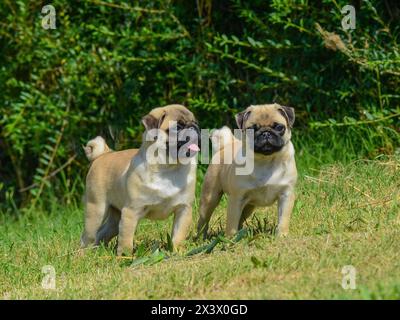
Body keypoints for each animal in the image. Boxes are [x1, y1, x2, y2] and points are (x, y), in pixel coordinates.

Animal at [80, 104, 200, 255]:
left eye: (196, 122)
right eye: (177, 127)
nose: (194, 127)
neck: (168, 167)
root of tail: (103, 154)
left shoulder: (184, 209)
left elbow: (178, 235)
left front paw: (177, 252)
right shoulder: (131, 211)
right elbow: (126, 240)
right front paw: (125, 257)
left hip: (116, 217)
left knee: (103, 232)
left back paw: (97, 251)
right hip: (96, 210)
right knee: (88, 236)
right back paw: (82, 254)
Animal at [198, 104, 296, 239]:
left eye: (279, 127)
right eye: (252, 129)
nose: (266, 133)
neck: (266, 161)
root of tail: (226, 145)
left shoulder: (286, 195)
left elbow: (283, 220)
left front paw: (282, 236)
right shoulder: (236, 199)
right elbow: (231, 224)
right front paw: (230, 240)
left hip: (248, 206)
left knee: (240, 219)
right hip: (209, 198)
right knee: (203, 221)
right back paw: (200, 238)